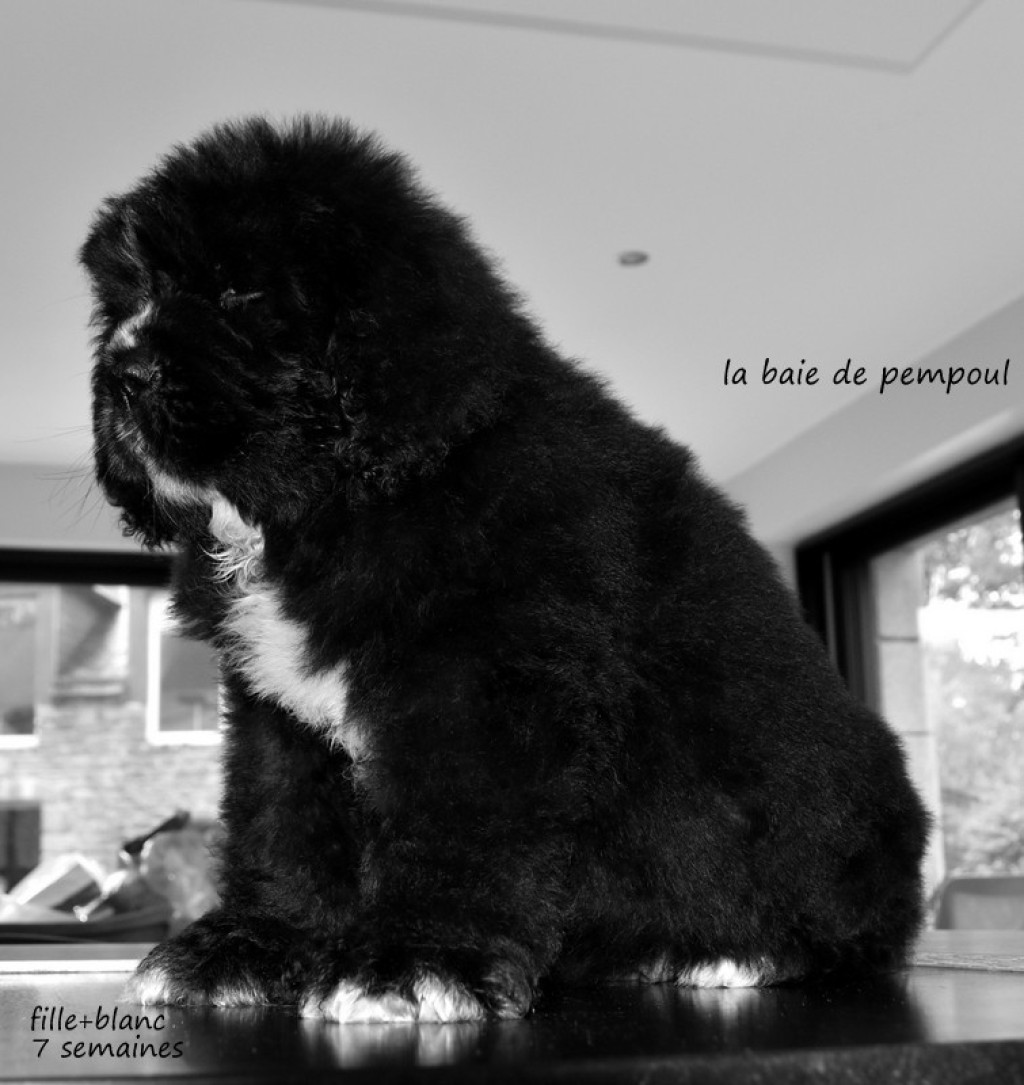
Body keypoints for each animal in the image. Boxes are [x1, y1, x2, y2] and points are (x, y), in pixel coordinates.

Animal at [81, 116, 928, 1022]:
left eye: (240, 290)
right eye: (123, 302)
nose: (122, 371)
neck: (340, 501)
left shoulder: (480, 682)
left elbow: (456, 820)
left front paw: (420, 957)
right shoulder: (280, 715)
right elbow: (282, 825)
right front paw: (256, 943)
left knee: (850, 925)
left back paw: (732, 949)